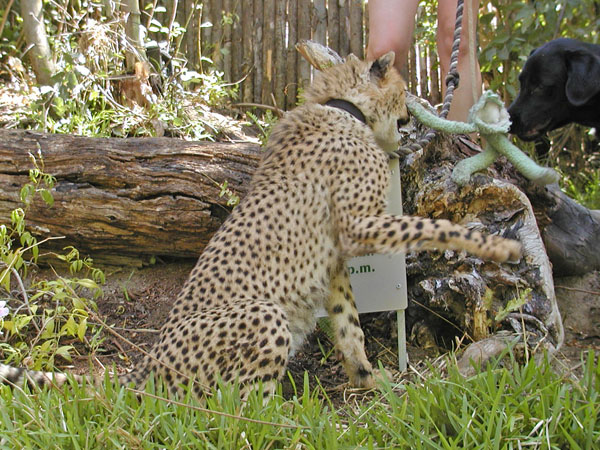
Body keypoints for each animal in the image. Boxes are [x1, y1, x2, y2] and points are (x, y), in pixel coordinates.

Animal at [0, 51, 520, 398]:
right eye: (402, 94)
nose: (411, 120)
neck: (343, 107)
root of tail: (145, 365)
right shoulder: (358, 226)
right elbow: (428, 226)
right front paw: (495, 247)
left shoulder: (334, 264)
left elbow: (350, 328)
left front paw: (374, 382)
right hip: (263, 316)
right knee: (234, 413)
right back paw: (282, 426)